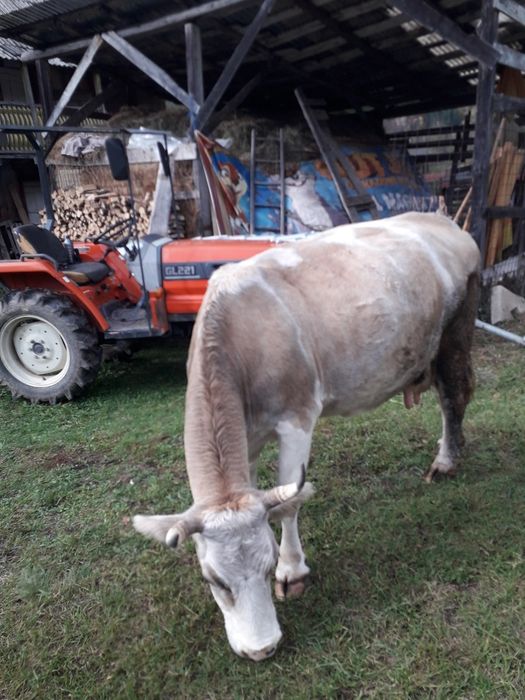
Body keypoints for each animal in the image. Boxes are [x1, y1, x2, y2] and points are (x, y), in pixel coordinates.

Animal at [133, 212, 480, 661]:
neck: (242, 336)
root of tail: (441, 219)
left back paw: (446, 460)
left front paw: (293, 571)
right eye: (214, 580)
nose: (261, 649)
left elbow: (288, 504)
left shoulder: (297, 418)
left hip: (457, 330)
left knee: (454, 395)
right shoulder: (245, 439)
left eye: (266, 566)